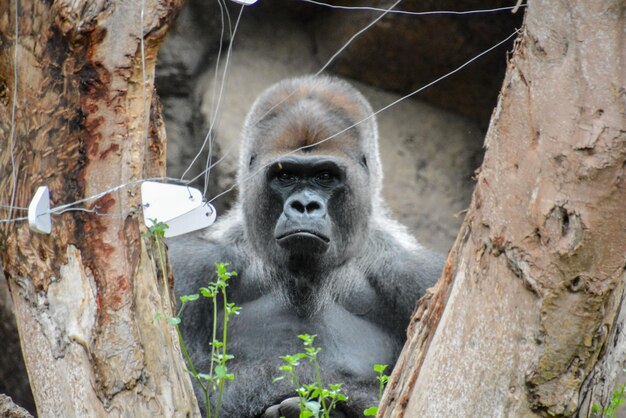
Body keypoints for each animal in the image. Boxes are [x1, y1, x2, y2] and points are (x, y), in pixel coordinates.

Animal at [169, 76, 444, 418]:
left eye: (325, 175)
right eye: (286, 175)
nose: (304, 205)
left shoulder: (419, 275)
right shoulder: (192, 267)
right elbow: (189, 390)